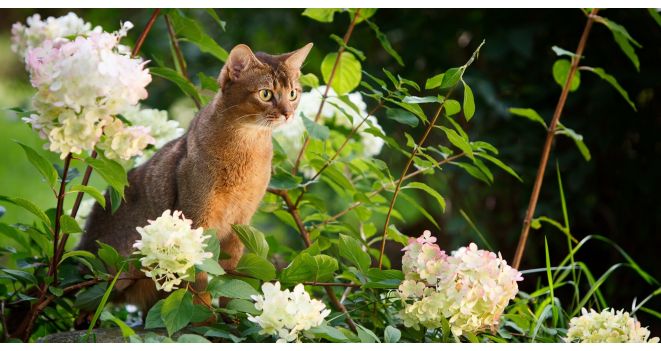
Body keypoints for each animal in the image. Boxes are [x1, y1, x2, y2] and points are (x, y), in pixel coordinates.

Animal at [76, 42, 314, 314]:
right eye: (265, 94)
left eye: (293, 94)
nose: (288, 113)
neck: (247, 147)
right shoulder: (196, 218)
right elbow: (197, 281)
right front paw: (204, 316)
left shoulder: (241, 223)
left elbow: (234, 278)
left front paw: (233, 313)